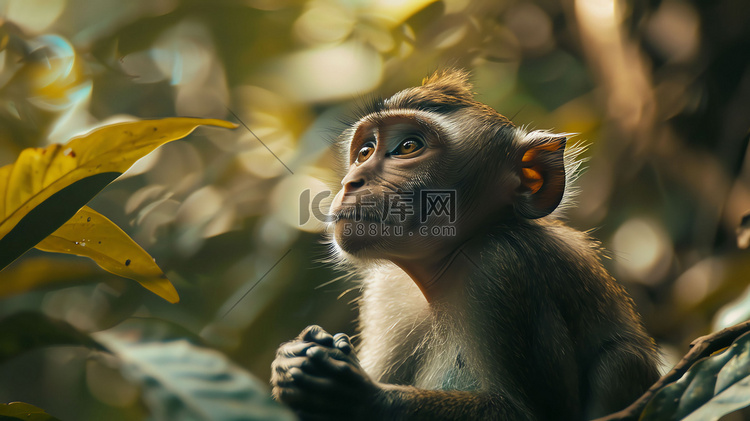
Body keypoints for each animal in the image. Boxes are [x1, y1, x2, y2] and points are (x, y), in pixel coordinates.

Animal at [272, 69, 664, 420]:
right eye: (365, 151)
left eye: (408, 146)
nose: (352, 181)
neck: (445, 268)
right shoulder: (388, 290)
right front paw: (293, 358)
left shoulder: (502, 267)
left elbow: (527, 413)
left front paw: (357, 396)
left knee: (621, 361)